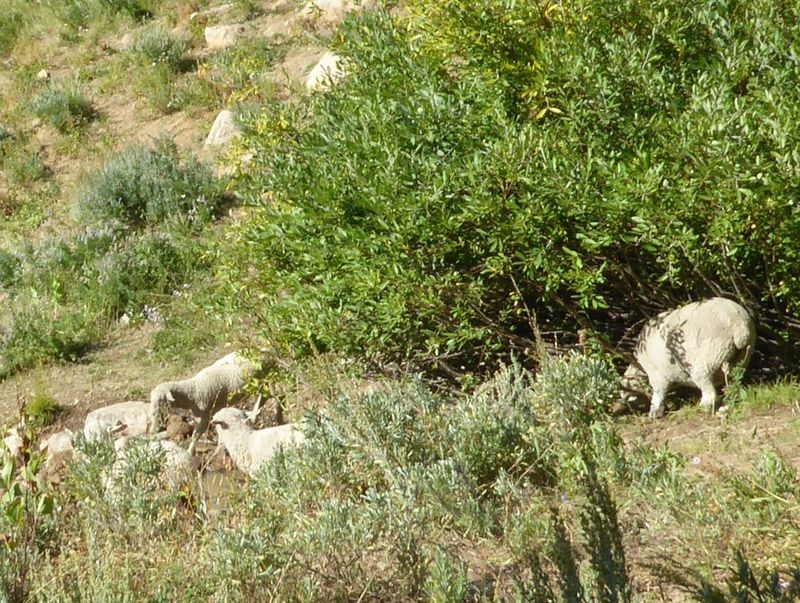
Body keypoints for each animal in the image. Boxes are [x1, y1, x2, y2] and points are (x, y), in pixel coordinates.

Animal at [622, 297, 756, 418]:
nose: (623, 401)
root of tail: (739, 325)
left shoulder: (657, 373)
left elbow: (659, 393)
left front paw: (654, 413)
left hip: (708, 357)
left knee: (709, 392)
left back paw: (702, 408)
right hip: (742, 358)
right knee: (733, 383)